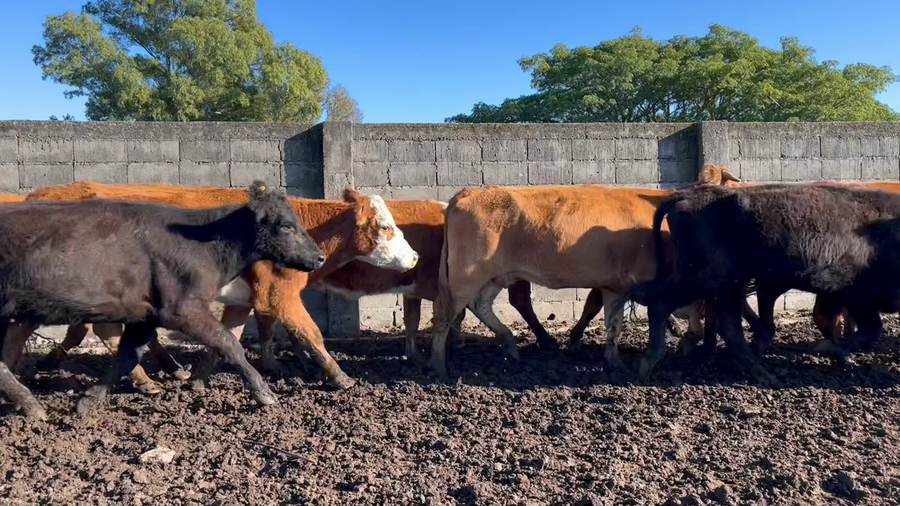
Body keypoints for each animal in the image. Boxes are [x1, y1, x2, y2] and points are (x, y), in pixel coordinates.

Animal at [0, 181, 324, 420]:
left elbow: (128, 356)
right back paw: (32, 405)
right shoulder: (181, 309)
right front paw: (265, 394)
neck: (206, 243)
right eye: (285, 225)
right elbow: (229, 342)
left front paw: (88, 401)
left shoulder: (144, 315)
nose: (319, 257)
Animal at [4, 180, 418, 392]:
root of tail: (40, 194)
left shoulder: (243, 299)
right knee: (102, 333)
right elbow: (310, 333)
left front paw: (202, 378)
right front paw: (341, 378)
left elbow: (229, 336)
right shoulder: (279, 296)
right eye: (385, 226)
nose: (414, 258)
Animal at [627, 183, 900, 383]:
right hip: (706, 279)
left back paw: (761, 372)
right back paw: (648, 364)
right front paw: (825, 349)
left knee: (727, 327)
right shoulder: (855, 295)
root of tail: (685, 195)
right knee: (661, 302)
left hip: (723, 285)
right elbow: (868, 330)